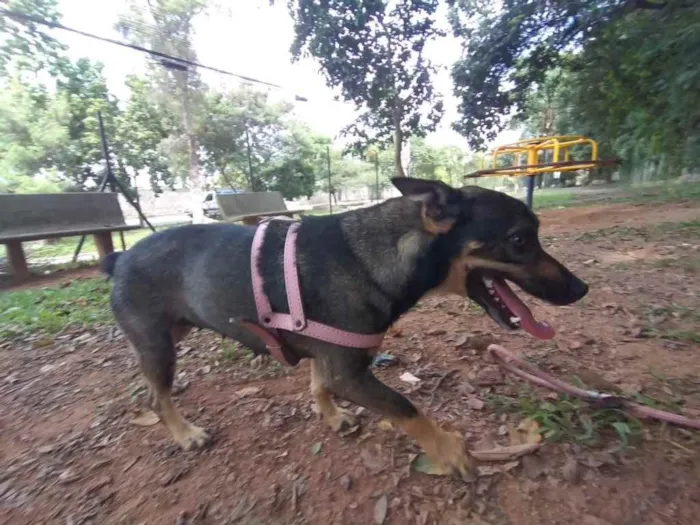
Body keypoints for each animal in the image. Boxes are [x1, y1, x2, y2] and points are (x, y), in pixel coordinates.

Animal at [101, 177, 588, 474]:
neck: (372, 255)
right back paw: (186, 434)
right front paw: (448, 449)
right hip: (158, 345)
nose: (581, 288)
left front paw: (332, 417)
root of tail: (118, 257)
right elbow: (407, 408)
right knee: (157, 397)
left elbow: (319, 384)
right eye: (520, 240)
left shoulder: (331, 358)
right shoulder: (350, 373)